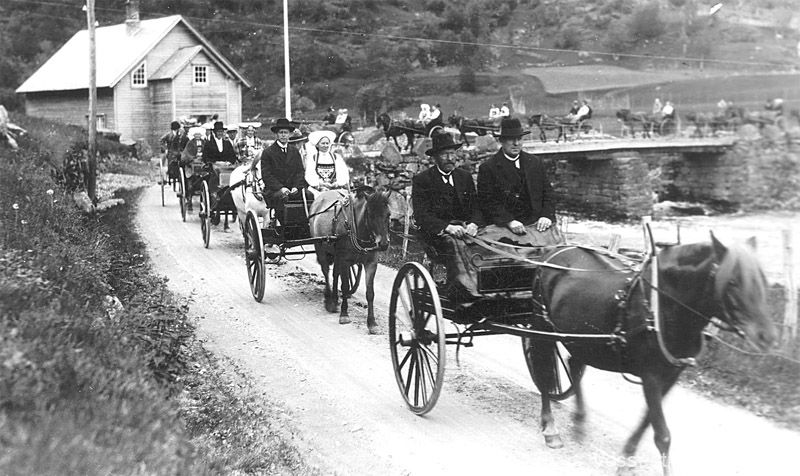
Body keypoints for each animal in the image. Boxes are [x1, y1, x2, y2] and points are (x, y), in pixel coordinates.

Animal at [308, 186, 391, 334]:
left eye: (388, 215)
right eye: (370, 215)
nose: (383, 244)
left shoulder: (371, 263)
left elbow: (370, 293)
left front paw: (372, 323)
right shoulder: (345, 261)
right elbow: (345, 287)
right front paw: (344, 315)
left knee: (335, 274)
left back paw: (334, 299)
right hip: (320, 248)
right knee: (326, 272)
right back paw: (329, 299)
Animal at [526, 233, 777, 475]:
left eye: (763, 281)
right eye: (733, 282)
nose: (767, 336)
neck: (664, 306)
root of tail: (553, 251)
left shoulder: (670, 376)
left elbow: (648, 423)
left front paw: (627, 458)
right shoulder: (651, 375)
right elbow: (663, 435)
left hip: (581, 337)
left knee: (574, 365)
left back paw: (579, 421)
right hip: (543, 327)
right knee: (543, 372)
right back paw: (550, 428)